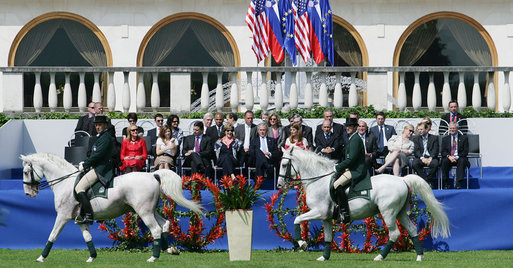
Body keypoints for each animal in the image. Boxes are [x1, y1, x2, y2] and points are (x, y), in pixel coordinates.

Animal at [20, 152, 201, 262]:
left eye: (26, 172)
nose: (29, 193)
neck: (65, 183)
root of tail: (152, 174)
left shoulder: (62, 216)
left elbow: (52, 235)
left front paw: (41, 258)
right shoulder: (80, 220)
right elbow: (87, 238)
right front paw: (92, 257)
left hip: (144, 212)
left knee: (156, 229)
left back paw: (153, 258)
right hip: (151, 210)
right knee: (165, 224)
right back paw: (168, 249)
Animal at [276, 147, 448, 262]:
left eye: (284, 165)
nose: (279, 185)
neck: (318, 180)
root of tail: (402, 180)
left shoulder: (319, 212)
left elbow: (297, 219)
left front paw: (302, 244)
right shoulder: (326, 217)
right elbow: (328, 238)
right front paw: (324, 257)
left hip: (388, 212)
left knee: (394, 233)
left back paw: (380, 257)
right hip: (400, 212)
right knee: (412, 229)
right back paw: (419, 257)